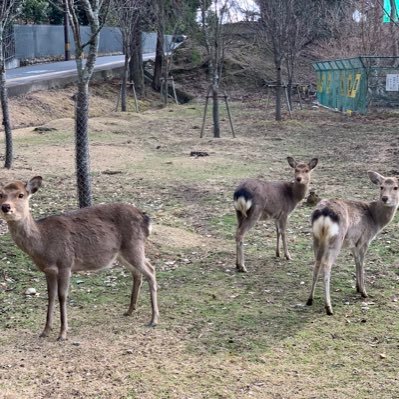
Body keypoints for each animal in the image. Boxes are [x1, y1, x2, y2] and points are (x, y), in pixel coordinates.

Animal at [0, 177, 159, 340]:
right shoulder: (48, 270)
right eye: (1, 194)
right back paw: (130, 310)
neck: (43, 244)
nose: (5, 207)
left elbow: (62, 296)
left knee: (151, 270)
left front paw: (62, 333)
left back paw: (153, 319)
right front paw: (45, 331)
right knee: (137, 273)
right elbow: (50, 296)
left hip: (135, 246)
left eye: (21, 195)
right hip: (122, 254)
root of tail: (146, 219)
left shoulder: (65, 263)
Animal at [306, 172, 399, 316]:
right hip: (335, 241)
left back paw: (310, 299)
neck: (375, 220)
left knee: (316, 262)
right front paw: (364, 292)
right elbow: (361, 263)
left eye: (395, 187)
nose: (385, 198)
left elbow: (356, 261)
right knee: (326, 265)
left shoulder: (354, 243)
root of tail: (324, 213)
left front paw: (357, 287)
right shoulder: (364, 240)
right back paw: (329, 307)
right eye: (381, 187)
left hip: (316, 238)